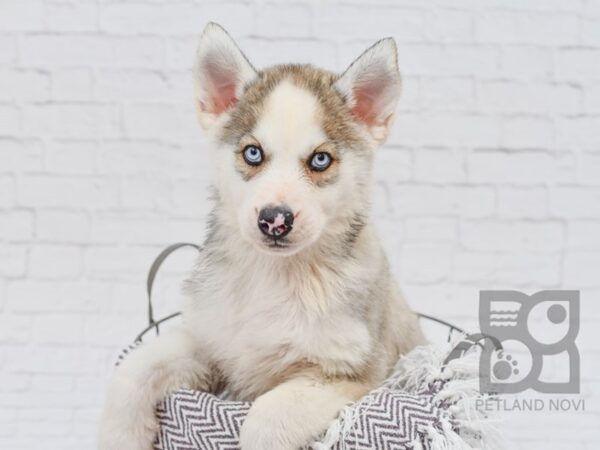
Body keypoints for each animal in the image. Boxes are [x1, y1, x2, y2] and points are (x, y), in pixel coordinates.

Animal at [98, 23, 424, 450]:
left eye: (320, 159)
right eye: (253, 153)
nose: (275, 220)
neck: (274, 276)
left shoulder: (354, 374)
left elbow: (269, 417)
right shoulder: (210, 341)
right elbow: (133, 371)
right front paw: (119, 435)